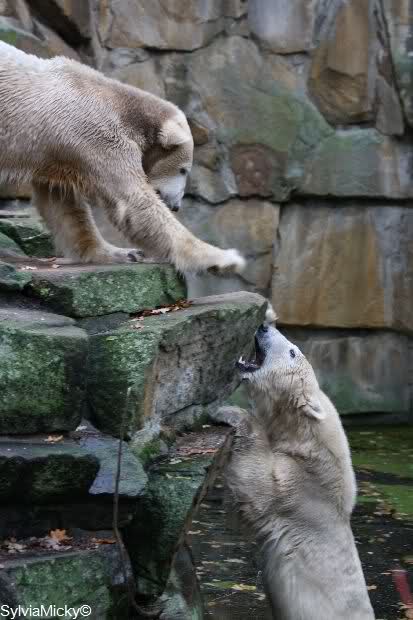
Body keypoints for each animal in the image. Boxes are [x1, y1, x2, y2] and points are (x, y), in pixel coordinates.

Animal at [0, 41, 245, 273]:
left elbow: (62, 203)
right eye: (184, 170)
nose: (176, 206)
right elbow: (134, 202)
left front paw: (121, 252)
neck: (121, 105)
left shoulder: (58, 153)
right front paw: (224, 259)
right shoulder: (99, 136)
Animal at [219, 325, 375, 620]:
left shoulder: (302, 485)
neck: (308, 434)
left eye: (292, 351)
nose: (264, 326)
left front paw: (228, 411)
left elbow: (259, 491)